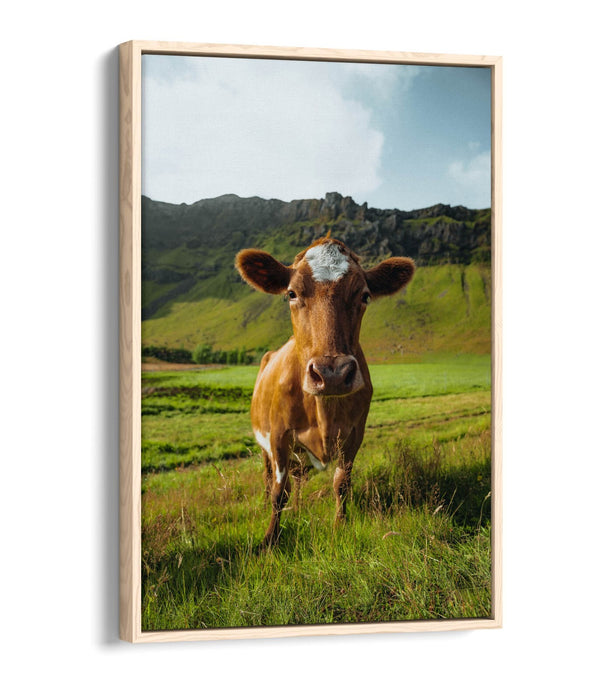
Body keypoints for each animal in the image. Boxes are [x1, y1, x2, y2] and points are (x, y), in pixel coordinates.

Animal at [235, 237, 415, 546]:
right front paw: (270, 539)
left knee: (297, 479)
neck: (324, 412)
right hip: (264, 444)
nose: (332, 374)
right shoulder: (279, 436)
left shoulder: (354, 435)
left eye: (365, 295)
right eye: (291, 293)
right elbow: (278, 492)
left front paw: (339, 526)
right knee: (269, 477)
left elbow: (341, 483)